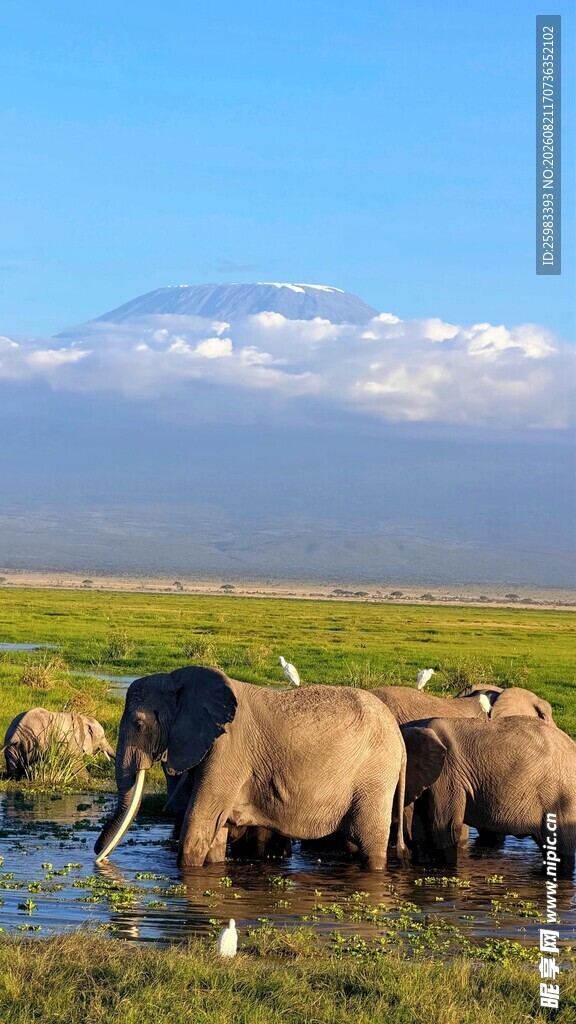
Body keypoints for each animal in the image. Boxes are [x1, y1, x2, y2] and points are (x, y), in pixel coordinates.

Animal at [94, 665, 408, 871]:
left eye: (139, 724)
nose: (97, 854)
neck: (180, 681)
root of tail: (400, 740)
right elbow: (214, 833)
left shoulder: (228, 750)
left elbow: (199, 824)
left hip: (375, 776)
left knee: (370, 842)